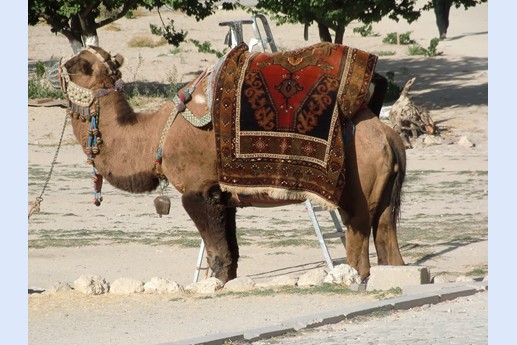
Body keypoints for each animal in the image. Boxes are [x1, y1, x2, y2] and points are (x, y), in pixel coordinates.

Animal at [55, 45, 404, 282]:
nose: (55, 67)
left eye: (75, 64)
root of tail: (388, 134)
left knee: (359, 248)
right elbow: (232, 254)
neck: (156, 135)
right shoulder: (224, 196)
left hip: (356, 193)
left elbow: (218, 256)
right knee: (387, 240)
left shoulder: (198, 190)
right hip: (383, 195)